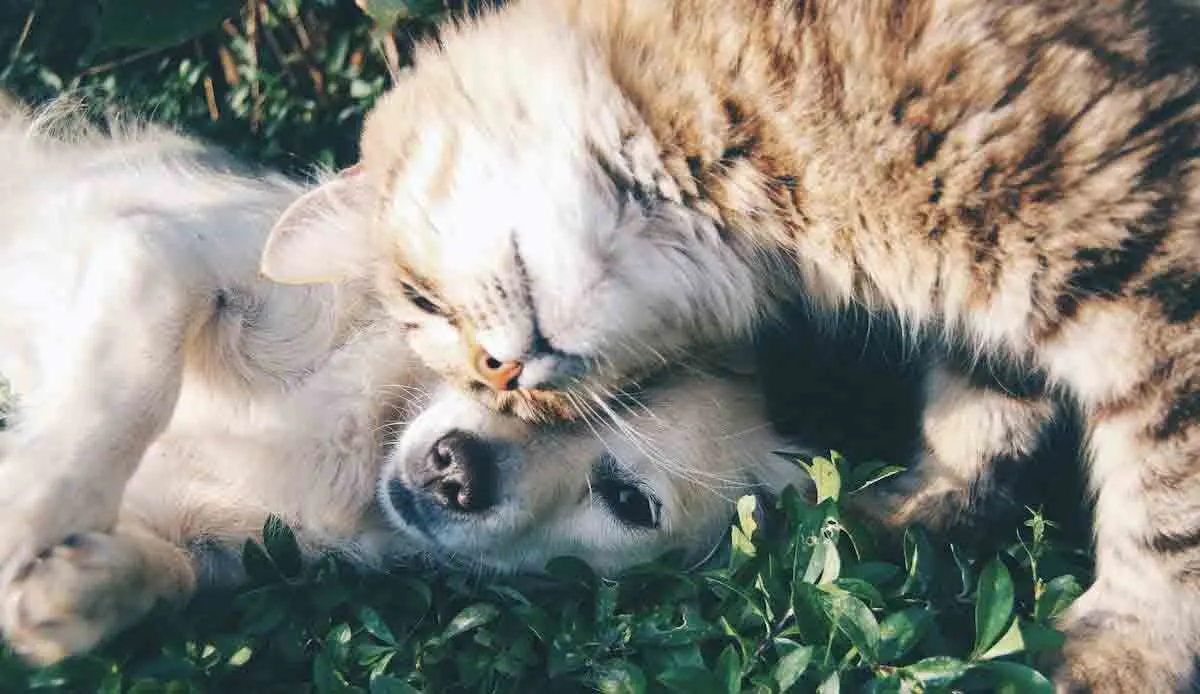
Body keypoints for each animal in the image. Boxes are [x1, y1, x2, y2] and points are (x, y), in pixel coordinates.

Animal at [262, 0, 1200, 686]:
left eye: (423, 301)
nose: (506, 374)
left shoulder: (1150, 257)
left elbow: (1166, 508)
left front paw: (1125, 653)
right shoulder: (993, 308)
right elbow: (979, 420)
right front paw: (901, 517)